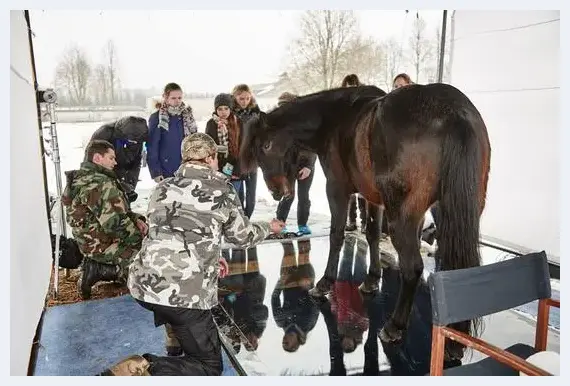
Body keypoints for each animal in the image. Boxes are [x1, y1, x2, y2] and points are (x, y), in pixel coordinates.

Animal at [237, 82, 490, 358]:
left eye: (265, 146)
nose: (277, 192)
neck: (333, 117)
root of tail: (453, 114)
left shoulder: (337, 189)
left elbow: (337, 235)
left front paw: (325, 282)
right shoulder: (372, 198)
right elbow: (372, 234)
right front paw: (371, 279)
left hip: (403, 216)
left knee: (412, 268)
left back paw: (395, 326)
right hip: (453, 212)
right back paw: (456, 339)